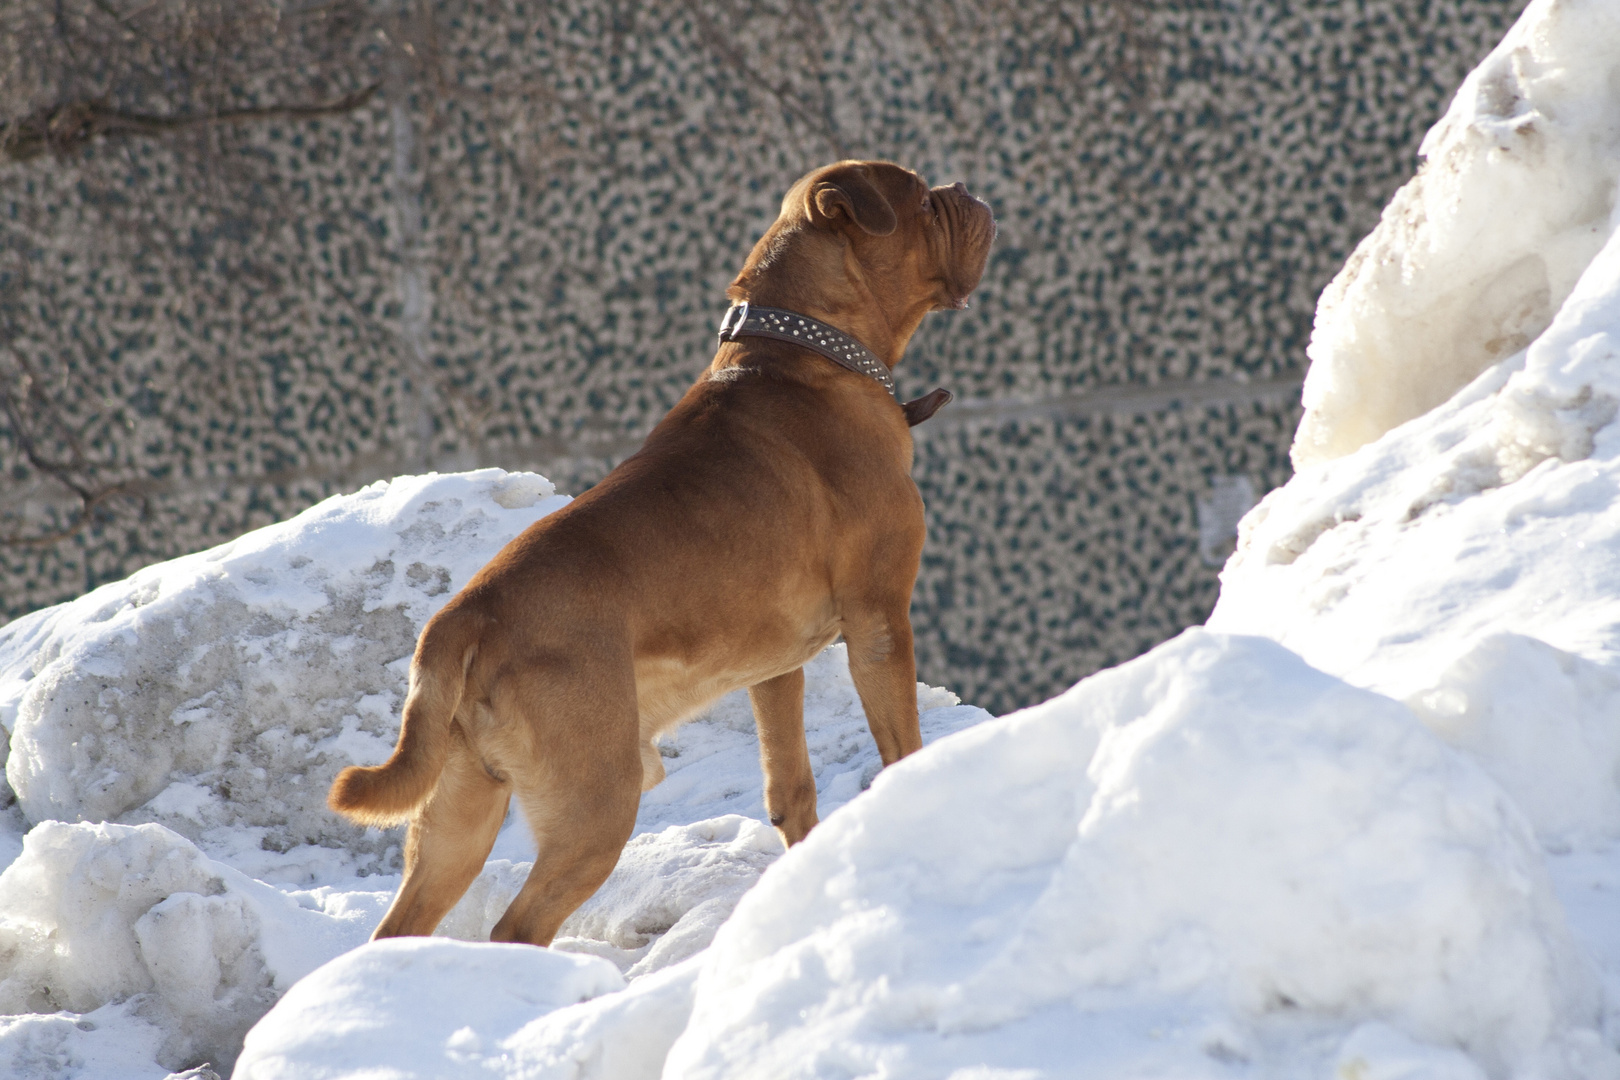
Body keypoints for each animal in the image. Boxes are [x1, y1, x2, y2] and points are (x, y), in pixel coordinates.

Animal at [325, 160, 984, 945]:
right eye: (921, 200)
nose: (968, 189)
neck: (809, 351)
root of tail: (464, 617)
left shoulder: (777, 670)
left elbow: (790, 784)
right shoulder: (880, 618)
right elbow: (900, 743)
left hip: (459, 812)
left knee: (402, 926)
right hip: (594, 806)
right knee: (518, 926)